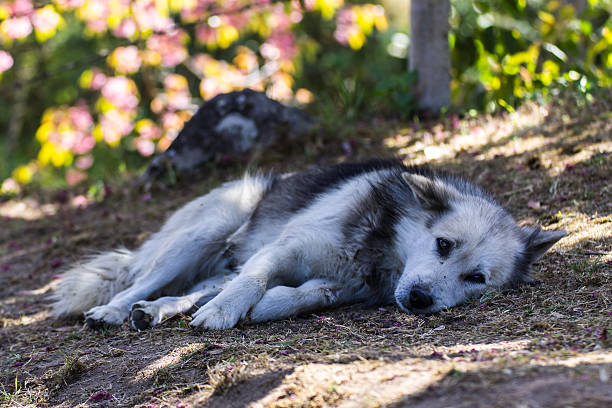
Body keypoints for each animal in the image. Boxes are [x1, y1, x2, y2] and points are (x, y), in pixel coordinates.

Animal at [50, 160, 568, 332]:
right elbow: (254, 281)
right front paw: (227, 313)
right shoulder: (285, 249)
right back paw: (113, 311)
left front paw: (266, 306)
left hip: (214, 264)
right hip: (205, 233)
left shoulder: (343, 286)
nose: (420, 300)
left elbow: (304, 294)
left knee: (194, 290)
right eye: (443, 243)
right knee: (136, 282)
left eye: (476, 278)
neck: (381, 248)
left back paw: (156, 311)